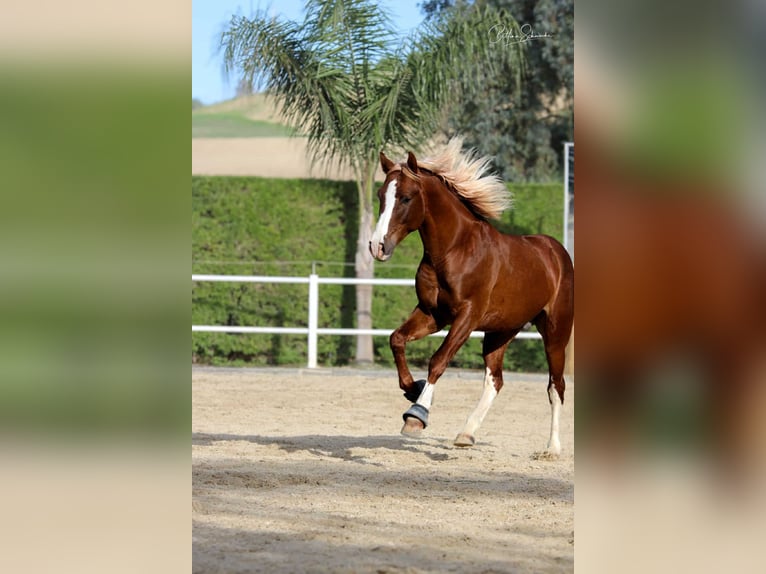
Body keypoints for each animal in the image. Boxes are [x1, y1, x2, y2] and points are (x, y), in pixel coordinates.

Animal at [372, 140, 576, 454]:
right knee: (495, 380)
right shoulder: (433, 314)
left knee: (556, 385)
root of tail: (557, 252)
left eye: (406, 198)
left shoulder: (467, 317)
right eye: (381, 196)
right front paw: (412, 388)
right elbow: (397, 339)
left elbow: (438, 360)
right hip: (501, 331)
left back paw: (552, 448)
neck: (454, 251)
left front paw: (416, 416)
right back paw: (466, 434)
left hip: (555, 333)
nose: (377, 246)